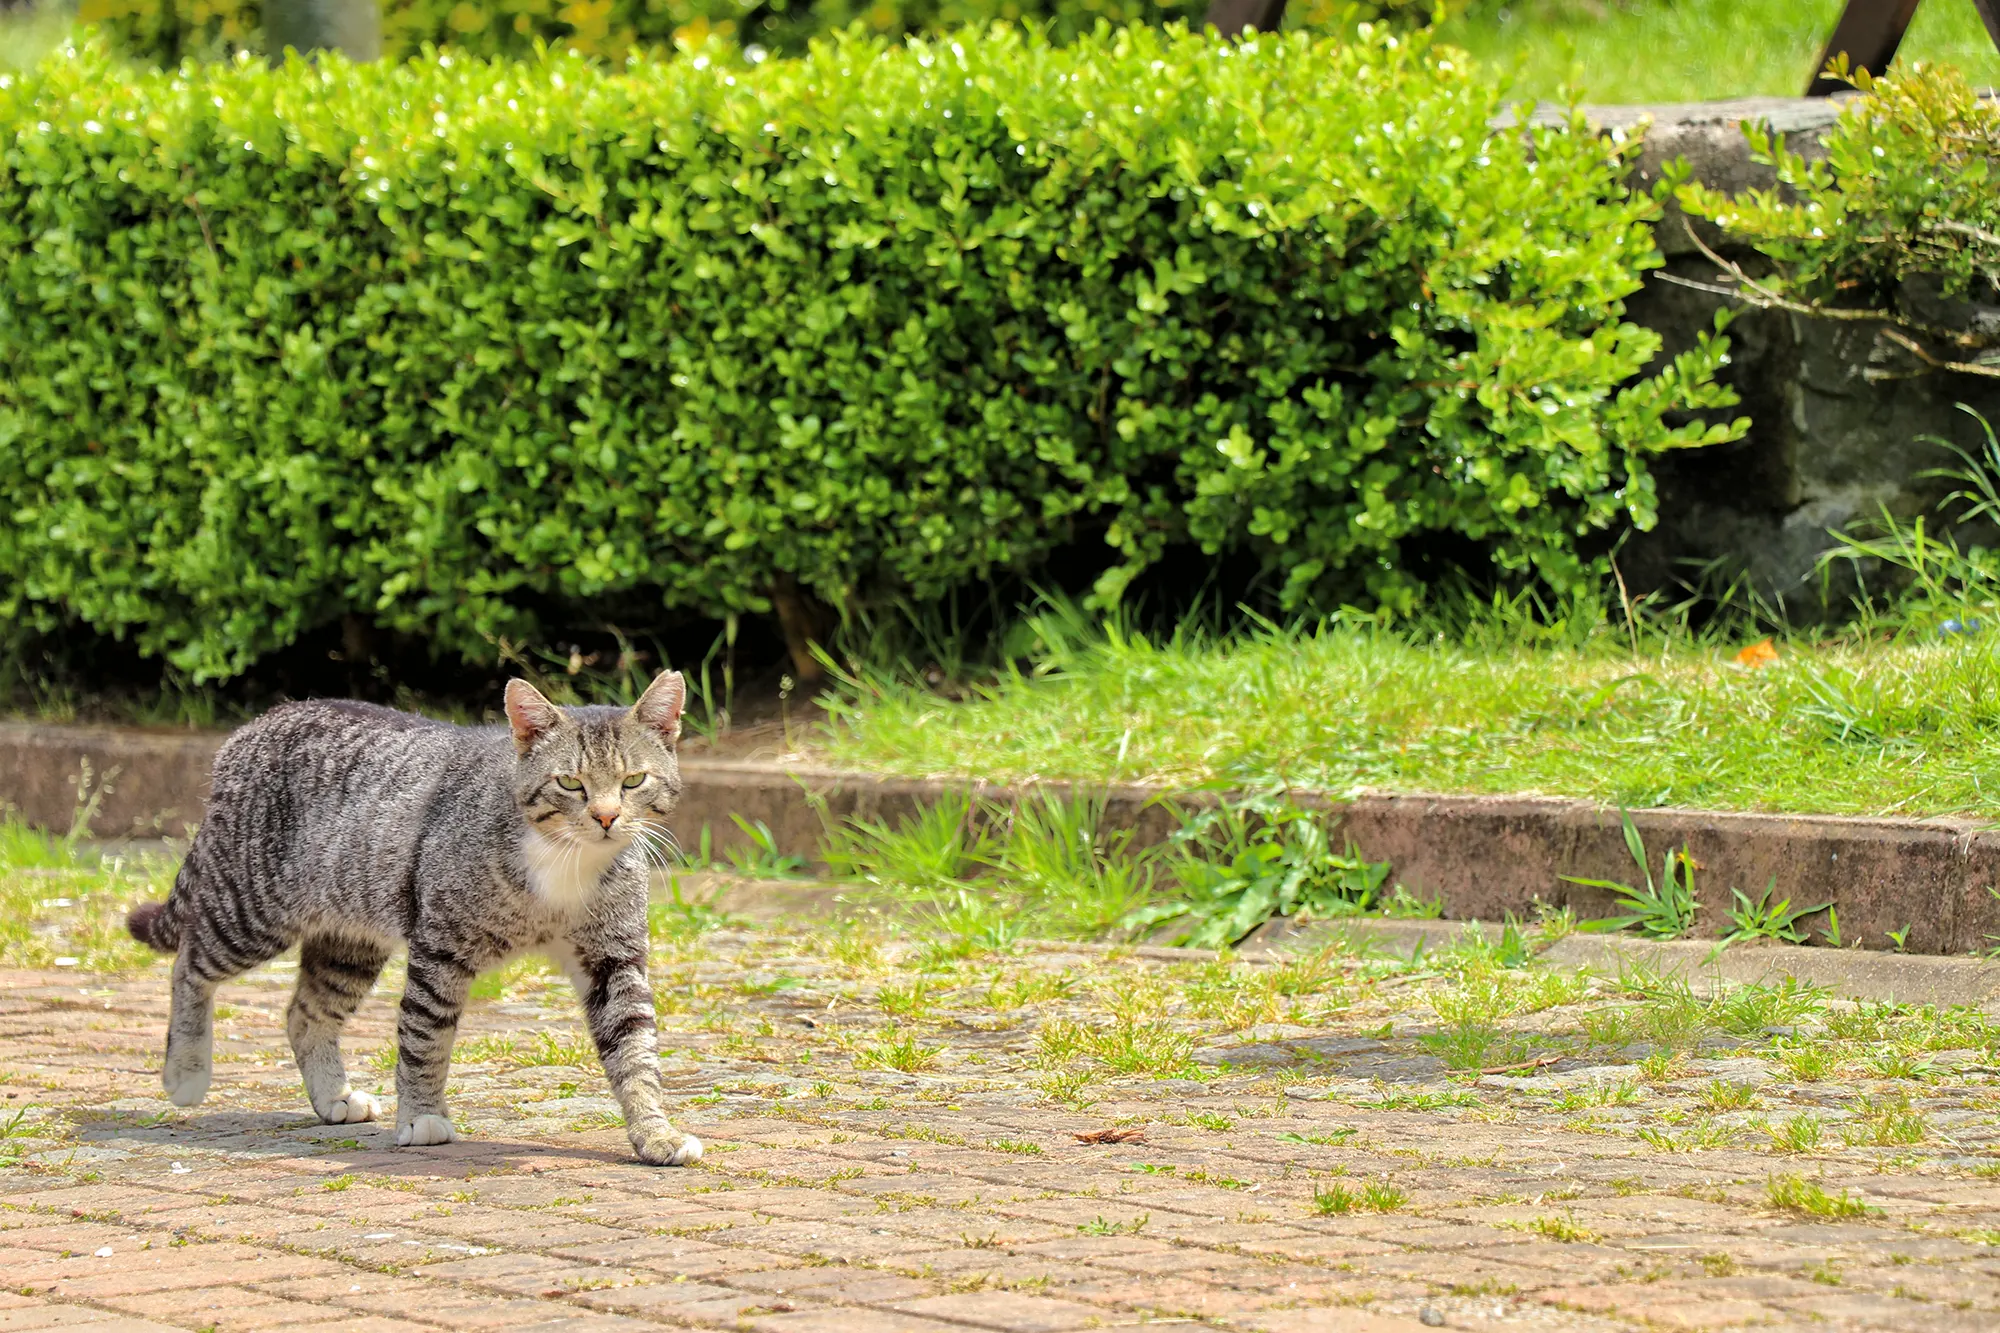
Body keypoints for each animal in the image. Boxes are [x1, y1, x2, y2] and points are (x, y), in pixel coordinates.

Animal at [127, 668, 704, 1160]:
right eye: (569, 783)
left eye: (633, 781)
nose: (606, 816)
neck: (566, 864)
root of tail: (252, 727)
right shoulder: (441, 948)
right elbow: (425, 1036)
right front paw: (422, 1117)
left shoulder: (614, 960)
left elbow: (635, 1048)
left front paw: (656, 1133)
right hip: (251, 909)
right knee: (190, 963)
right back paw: (185, 1071)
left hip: (349, 937)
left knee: (305, 1013)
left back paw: (333, 1095)